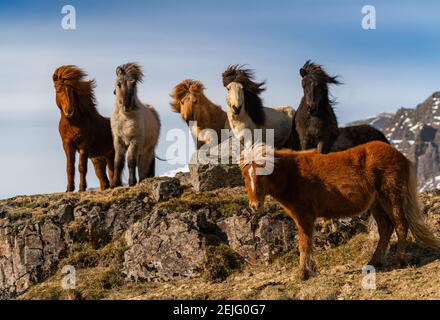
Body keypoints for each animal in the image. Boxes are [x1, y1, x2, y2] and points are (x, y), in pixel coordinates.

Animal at [241, 142, 440, 280]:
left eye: (261, 176)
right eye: (244, 177)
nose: (255, 206)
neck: (293, 175)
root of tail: (400, 156)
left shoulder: (305, 217)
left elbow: (304, 244)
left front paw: (303, 274)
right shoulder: (303, 218)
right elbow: (307, 243)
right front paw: (309, 270)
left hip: (391, 198)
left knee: (400, 225)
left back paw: (400, 260)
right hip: (377, 203)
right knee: (386, 229)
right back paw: (374, 262)